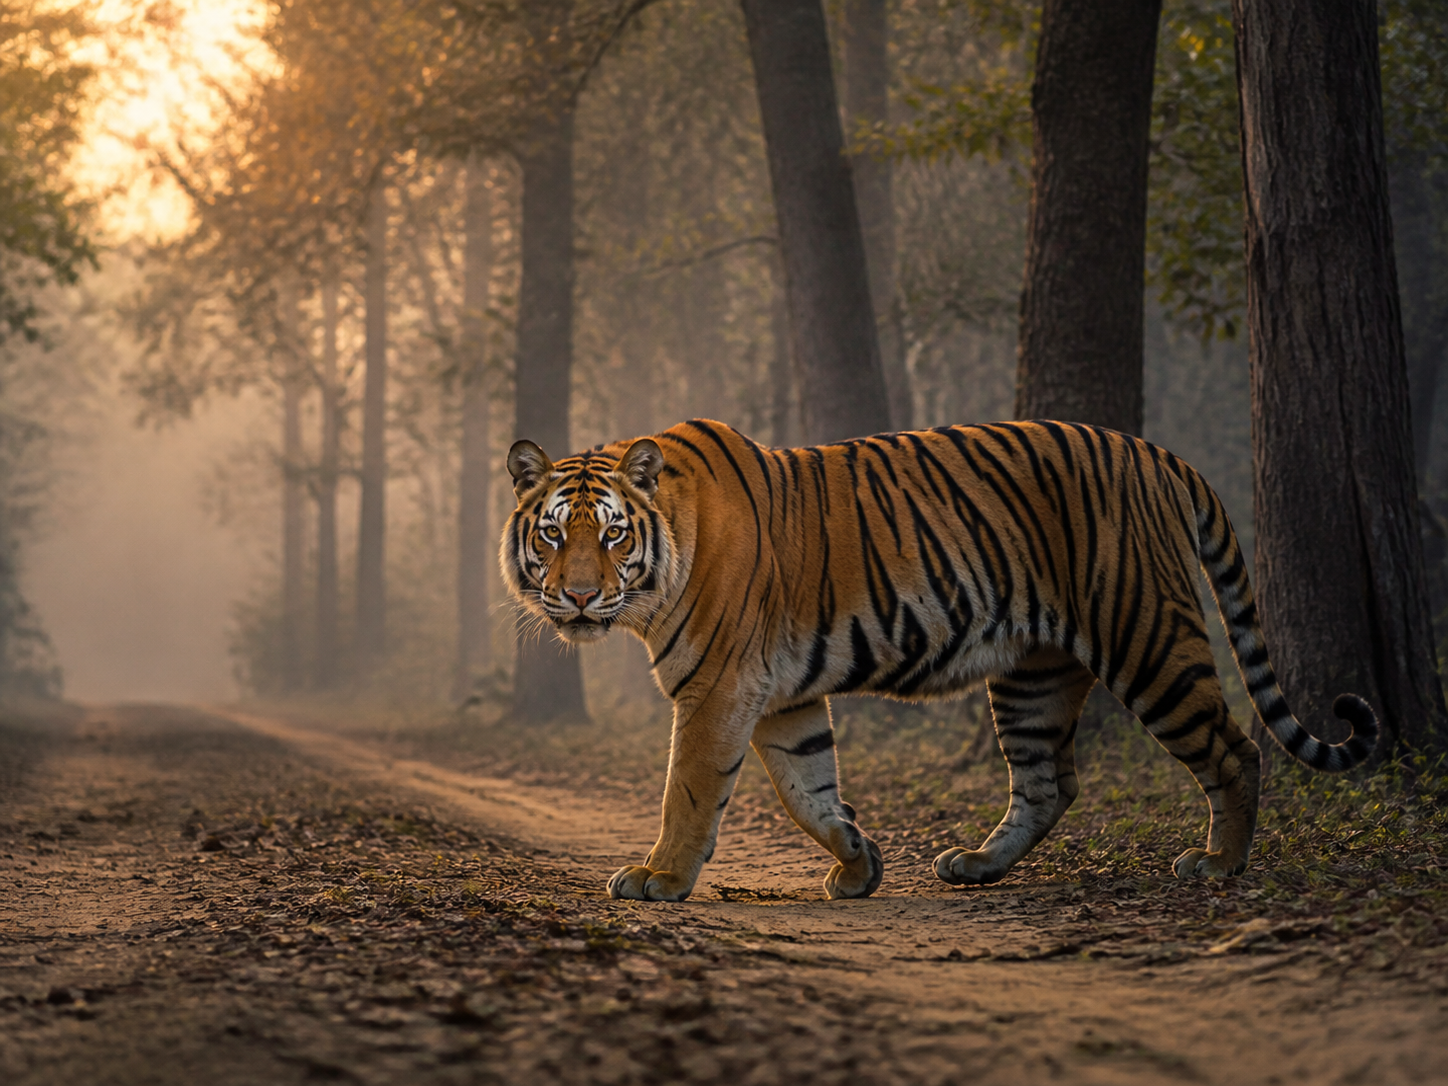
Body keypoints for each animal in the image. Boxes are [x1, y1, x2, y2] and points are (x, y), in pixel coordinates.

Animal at [501, 418, 1379, 902]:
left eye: (613, 534)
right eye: (554, 533)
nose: (578, 596)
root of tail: (1158, 453)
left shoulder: (719, 688)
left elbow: (688, 791)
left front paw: (659, 878)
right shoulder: (781, 696)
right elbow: (807, 791)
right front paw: (860, 865)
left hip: (1146, 636)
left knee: (1235, 749)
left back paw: (1218, 863)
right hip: (1033, 674)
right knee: (1049, 782)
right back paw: (978, 865)